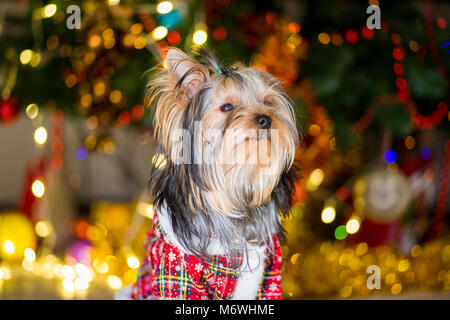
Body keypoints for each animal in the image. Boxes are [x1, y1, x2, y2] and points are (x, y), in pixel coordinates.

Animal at [126, 47, 298, 300]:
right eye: (227, 107)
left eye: (267, 102)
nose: (266, 119)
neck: (233, 192)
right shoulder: (178, 269)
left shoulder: (269, 272)